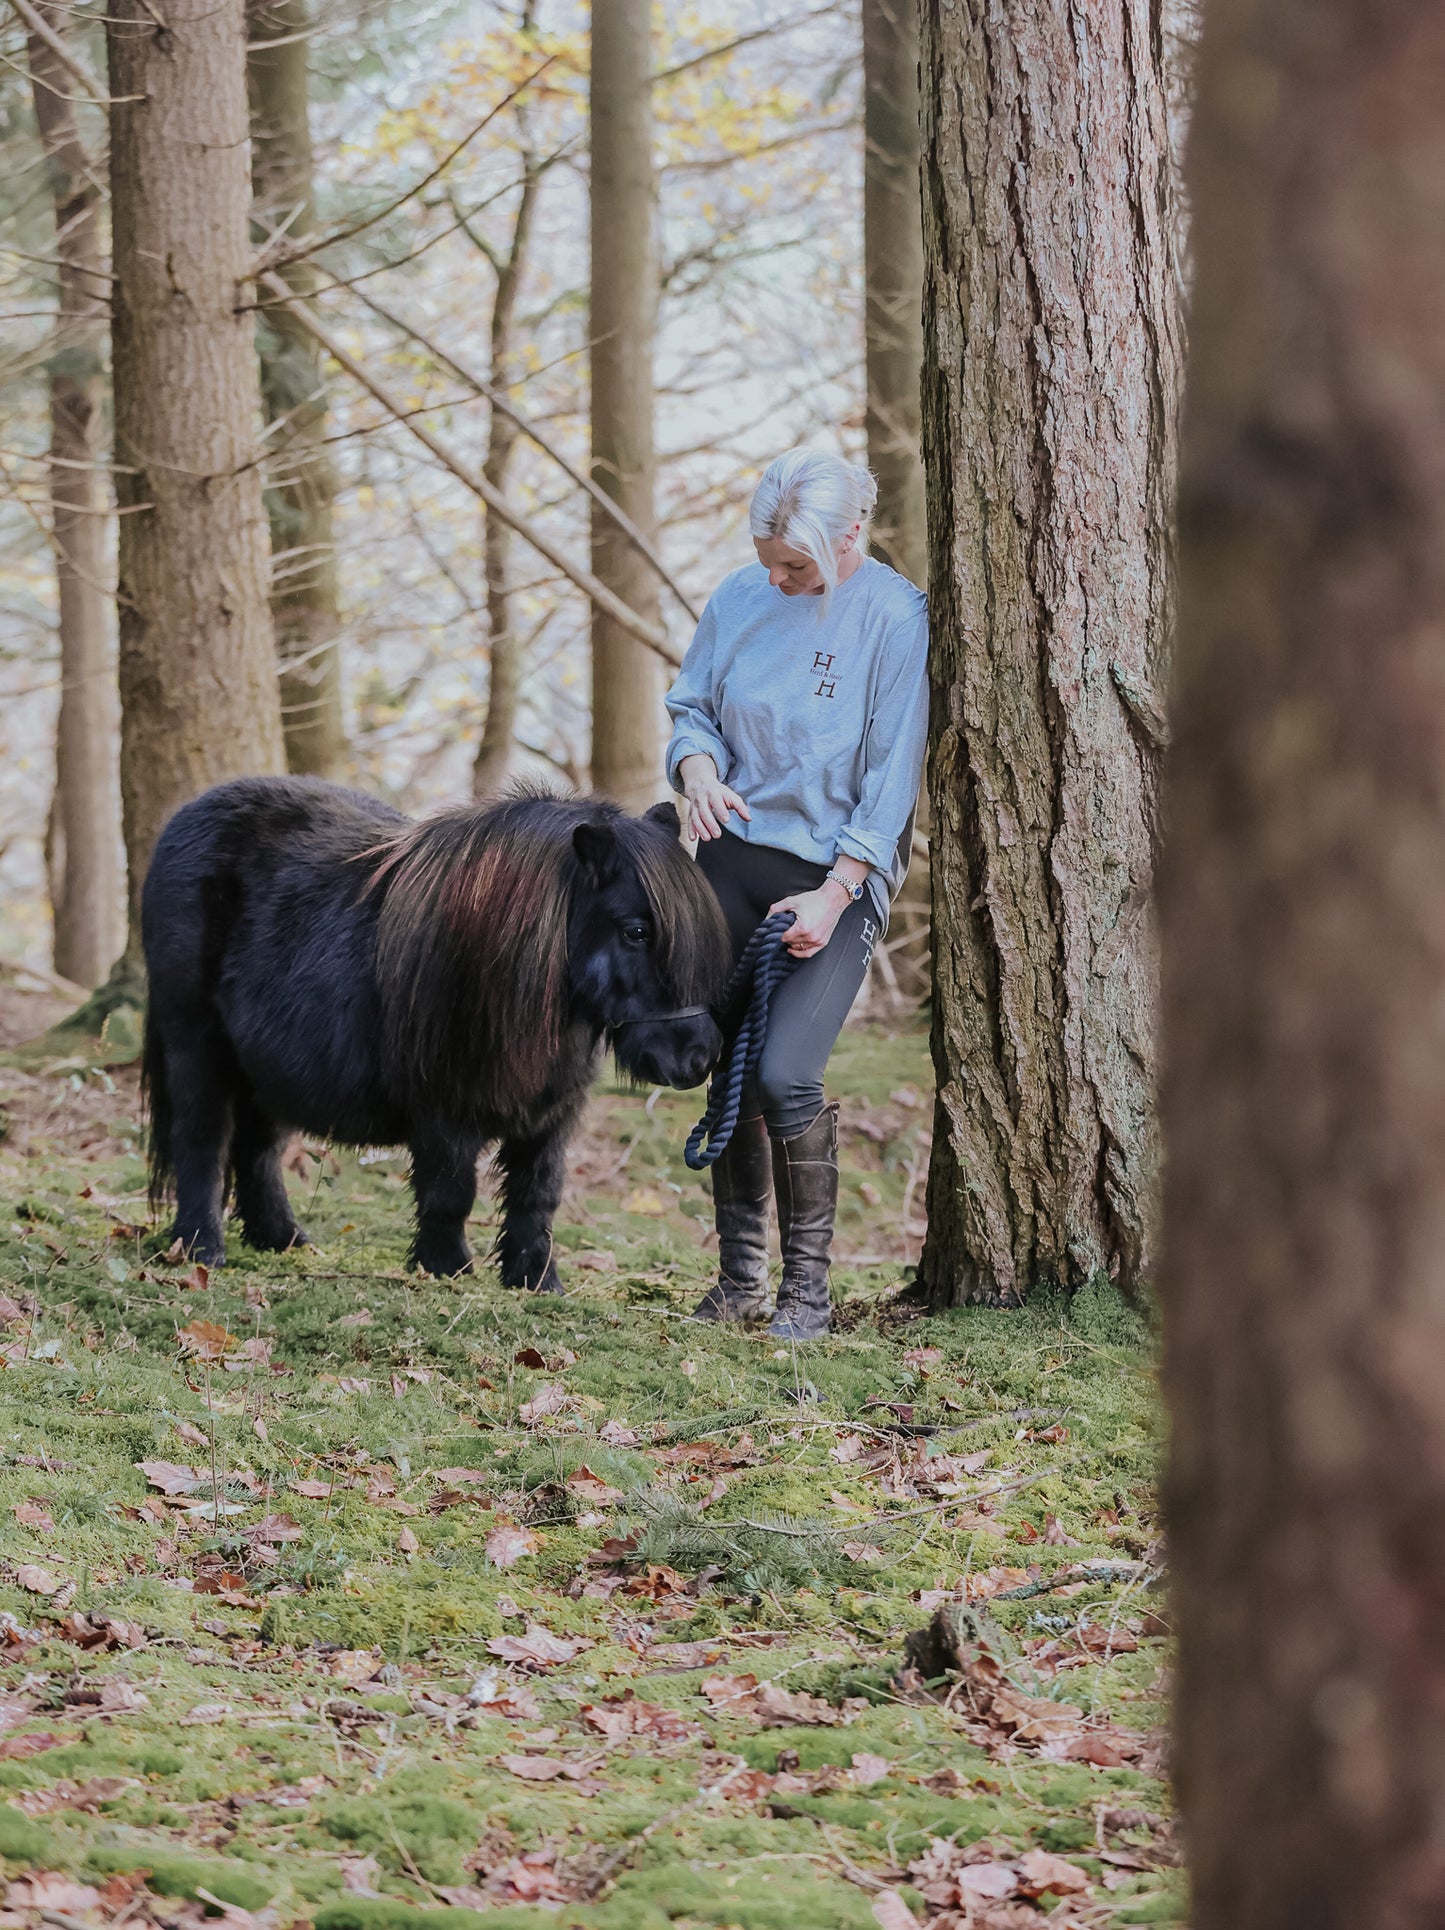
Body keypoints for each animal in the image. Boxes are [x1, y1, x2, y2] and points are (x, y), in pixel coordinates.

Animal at [140, 775, 725, 1289]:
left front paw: (537, 1279)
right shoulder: (444, 1112)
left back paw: (282, 1239)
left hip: (267, 1070)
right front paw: (447, 1268)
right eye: (636, 931)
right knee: (203, 1139)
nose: (696, 1058)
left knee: (258, 1149)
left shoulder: (550, 1116)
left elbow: (538, 1195)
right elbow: (450, 1191)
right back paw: (201, 1247)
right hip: (196, 1045)